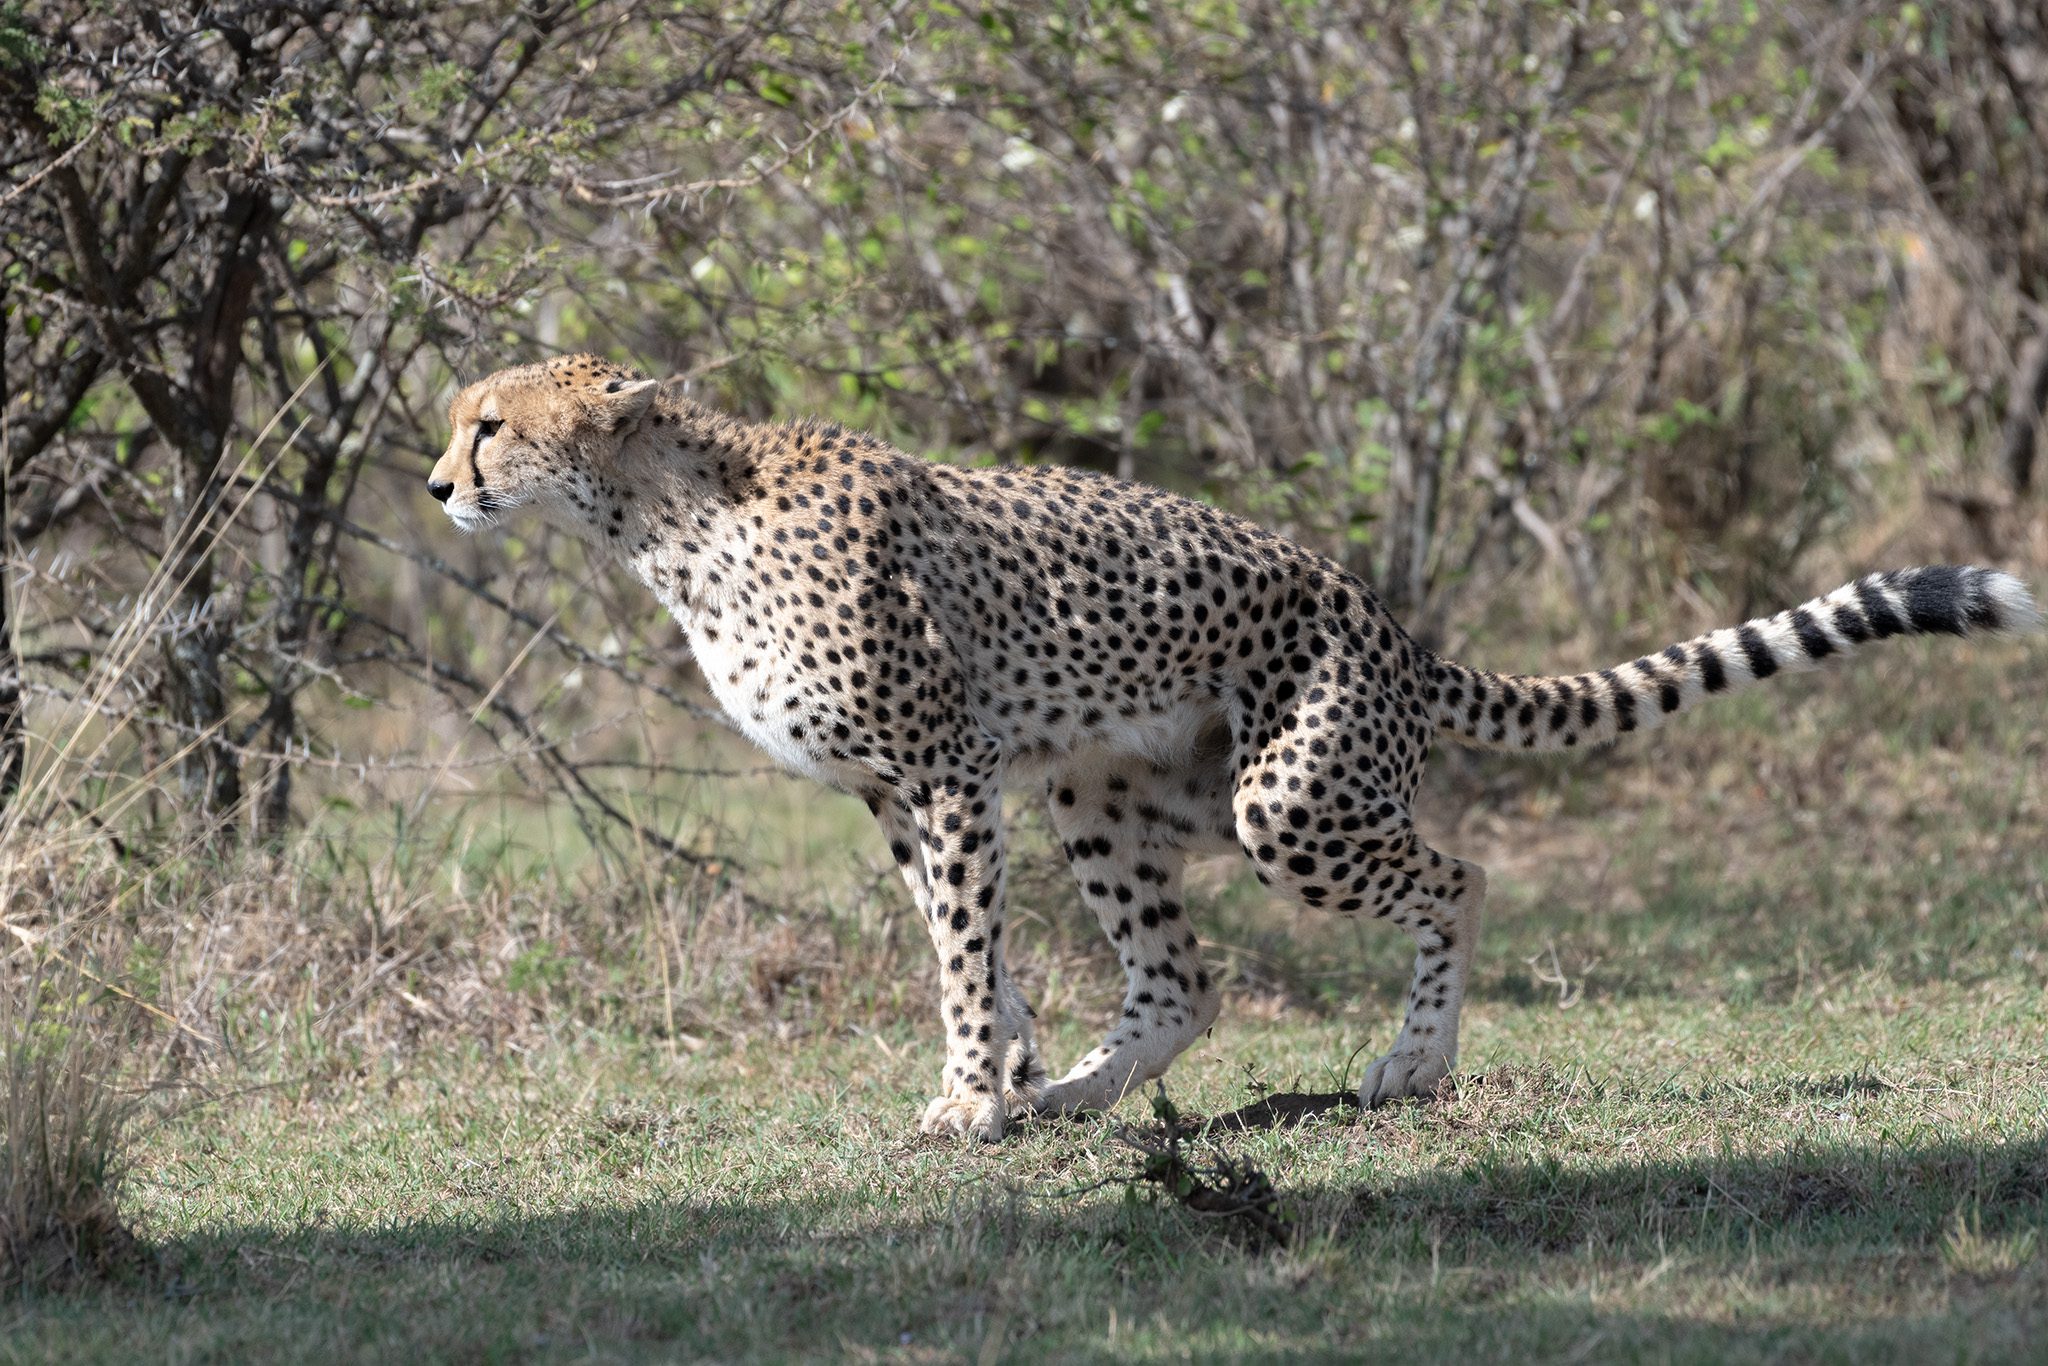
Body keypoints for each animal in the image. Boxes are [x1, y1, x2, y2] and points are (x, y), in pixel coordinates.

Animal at [423, 356, 2039, 1146]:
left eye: (490, 424)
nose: (438, 484)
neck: (667, 519)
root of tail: (1381, 614)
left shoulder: (940, 769)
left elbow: (958, 949)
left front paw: (965, 1099)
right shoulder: (906, 789)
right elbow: (967, 945)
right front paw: (1008, 1077)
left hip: (1286, 799)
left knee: (1457, 875)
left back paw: (1412, 1065)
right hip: (1108, 786)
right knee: (1182, 978)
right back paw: (1079, 1095)